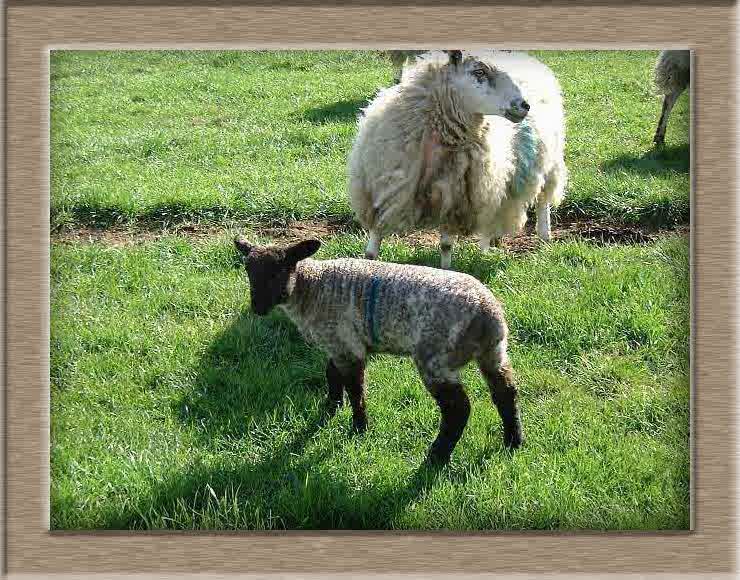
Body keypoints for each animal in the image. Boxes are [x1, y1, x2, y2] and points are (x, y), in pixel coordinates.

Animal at [234, 236, 524, 466]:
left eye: (279, 271)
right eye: (248, 271)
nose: (257, 307)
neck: (311, 287)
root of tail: (486, 314)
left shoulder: (348, 347)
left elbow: (355, 390)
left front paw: (359, 428)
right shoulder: (338, 344)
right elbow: (331, 376)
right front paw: (330, 408)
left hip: (436, 357)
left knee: (458, 409)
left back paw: (436, 456)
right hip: (495, 352)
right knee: (505, 391)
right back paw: (513, 440)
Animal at [346, 49, 568, 268]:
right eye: (479, 72)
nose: (524, 105)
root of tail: (529, 58)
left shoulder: (454, 198)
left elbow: (445, 246)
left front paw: (445, 271)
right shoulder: (386, 190)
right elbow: (373, 242)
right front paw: (367, 263)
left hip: (548, 163)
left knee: (543, 200)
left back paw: (544, 235)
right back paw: (488, 246)